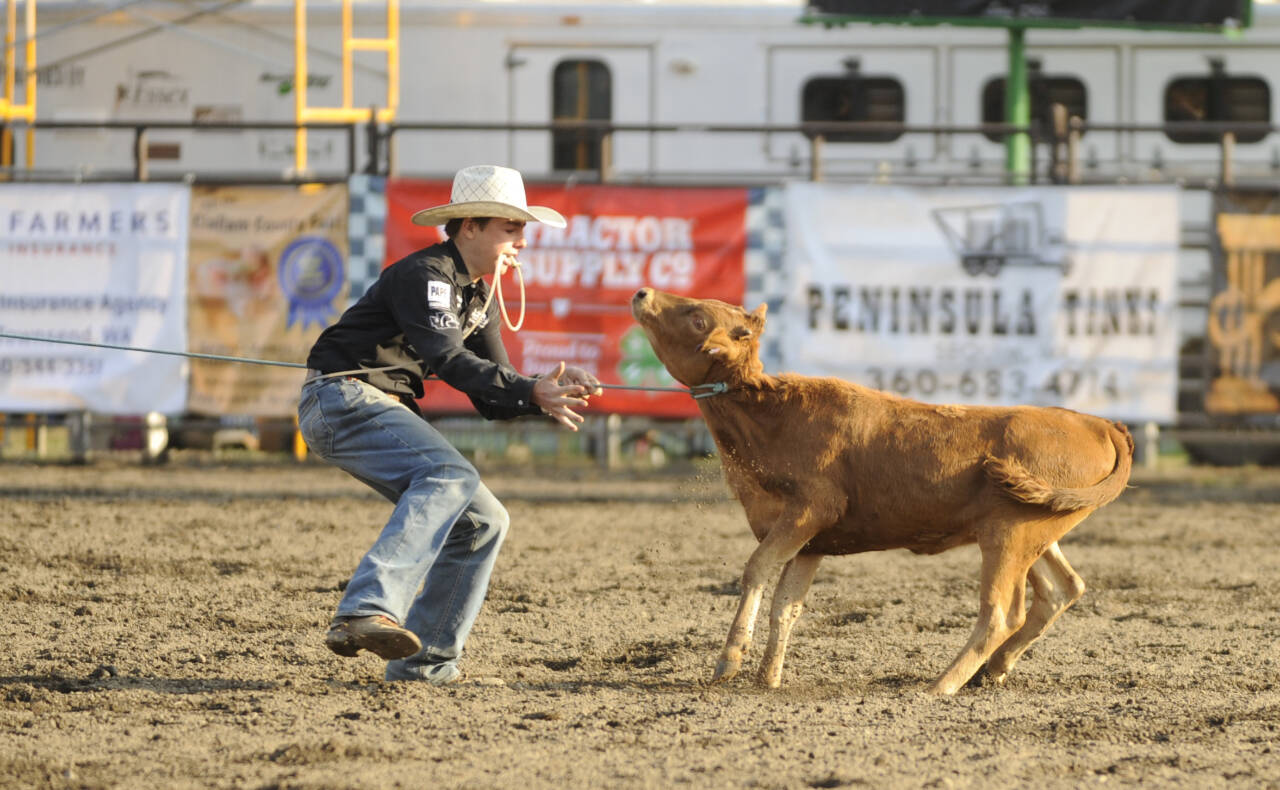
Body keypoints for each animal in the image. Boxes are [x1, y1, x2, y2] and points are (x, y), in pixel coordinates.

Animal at [629, 286, 1131, 691]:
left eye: (697, 317)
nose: (642, 293)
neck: (772, 415)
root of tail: (1097, 423)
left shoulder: (810, 510)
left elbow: (755, 570)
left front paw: (729, 661)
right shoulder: (810, 541)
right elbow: (787, 604)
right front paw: (767, 678)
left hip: (1009, 535)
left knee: (1001, 614)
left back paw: (940, 685)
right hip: (1034, 532)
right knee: (1062, 588)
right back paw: (993, 669)